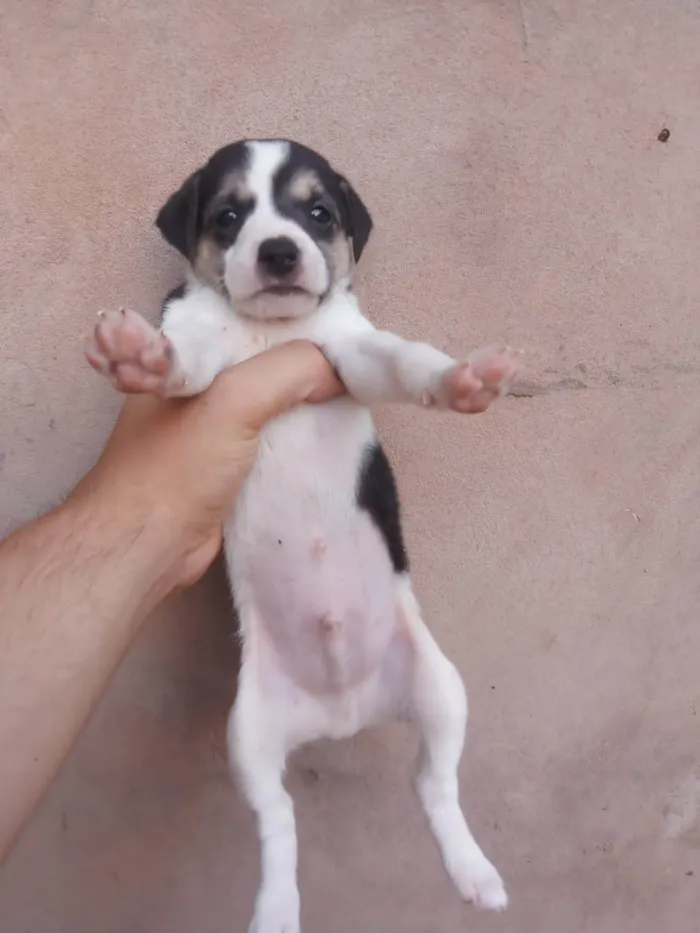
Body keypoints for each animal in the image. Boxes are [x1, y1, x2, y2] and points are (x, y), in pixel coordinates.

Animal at [86, 138, 520, 932]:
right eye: (229, 216)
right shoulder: (205, 357)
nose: (281, 252)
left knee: (434, 785)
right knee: (279, 823)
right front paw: (141, 357)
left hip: (442, 689)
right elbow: (182, 363)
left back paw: (473, 871)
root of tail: (343, 713)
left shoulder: (351, 357)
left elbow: (404, 359)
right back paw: (277, 909)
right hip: (248, 735)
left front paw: (459, 379)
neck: (273, 331)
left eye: (318, 213)